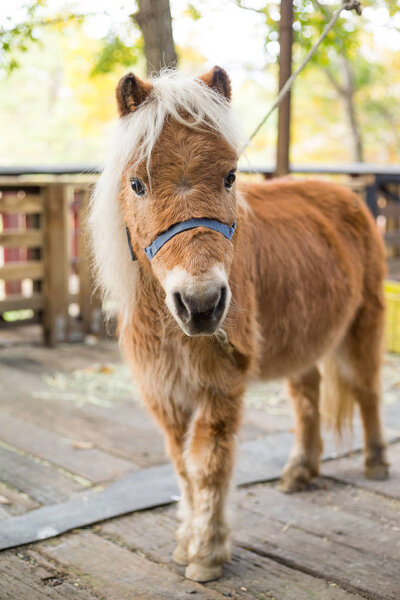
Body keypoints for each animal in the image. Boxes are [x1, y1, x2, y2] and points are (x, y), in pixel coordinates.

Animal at [89, 68, 390, 584]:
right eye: (137, 184)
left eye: (230, 176)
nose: (202, 305)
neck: (172, 329)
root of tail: (342, 195)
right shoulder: (164, 394)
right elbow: (183, 468)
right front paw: (186, 541)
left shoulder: (219, 386)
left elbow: (209, 465)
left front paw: (208, 553)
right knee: (307, 398)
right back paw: (300, 471)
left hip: (362, 326)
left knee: (366, 388)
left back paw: (374, 463)